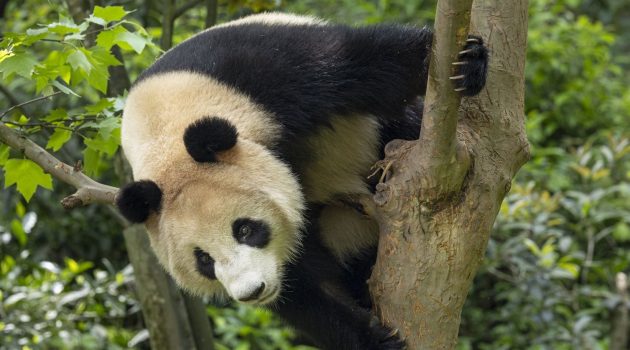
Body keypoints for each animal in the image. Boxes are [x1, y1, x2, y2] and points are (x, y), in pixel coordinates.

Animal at [116, 12, 492, 348]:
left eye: (245, 229)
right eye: (203, 260)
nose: (252, 291)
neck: (166, 132)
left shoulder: (256, 75)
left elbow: (365, 66)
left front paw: (467, 61)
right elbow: (304, 291)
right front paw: (374, 338)